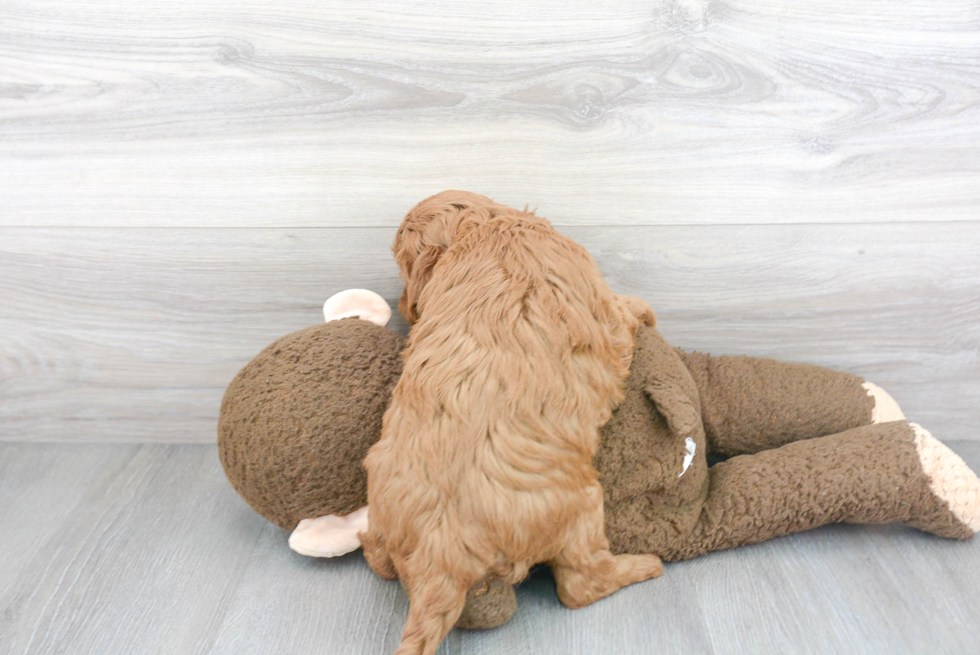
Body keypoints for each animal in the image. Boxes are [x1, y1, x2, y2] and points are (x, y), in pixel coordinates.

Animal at [358, 191, 660, 655]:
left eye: (402, 264)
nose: (403, 308)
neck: (487, 227)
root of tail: (439, 552)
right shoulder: (607, 314)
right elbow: (627, 311)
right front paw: (647, 311)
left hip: (382, 501)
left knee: (379, 558)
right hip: (582, 505)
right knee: (580, 585)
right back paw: (645, 565)